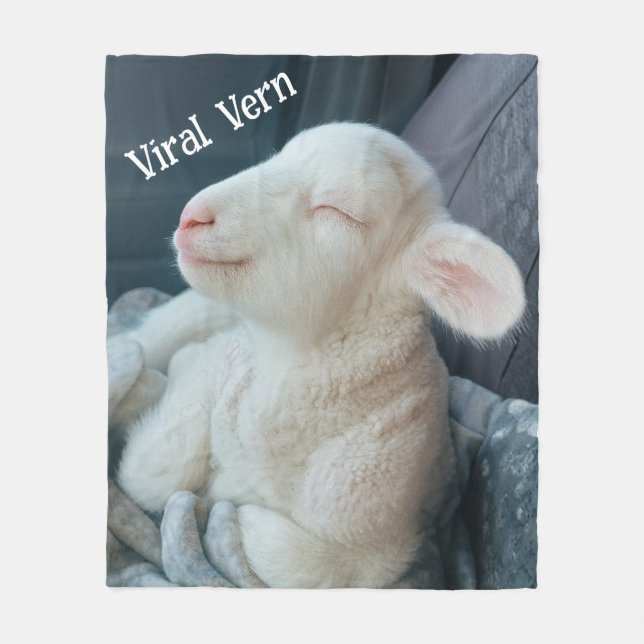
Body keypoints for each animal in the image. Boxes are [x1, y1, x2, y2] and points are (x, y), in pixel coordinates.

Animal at [113, 122, 526, 588]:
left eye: (337, 210)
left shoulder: (382, 537)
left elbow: (305, 562)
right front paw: (147, 387)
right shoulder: (221, 358)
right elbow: (153, 472)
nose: (192, 216)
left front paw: (230, 513)